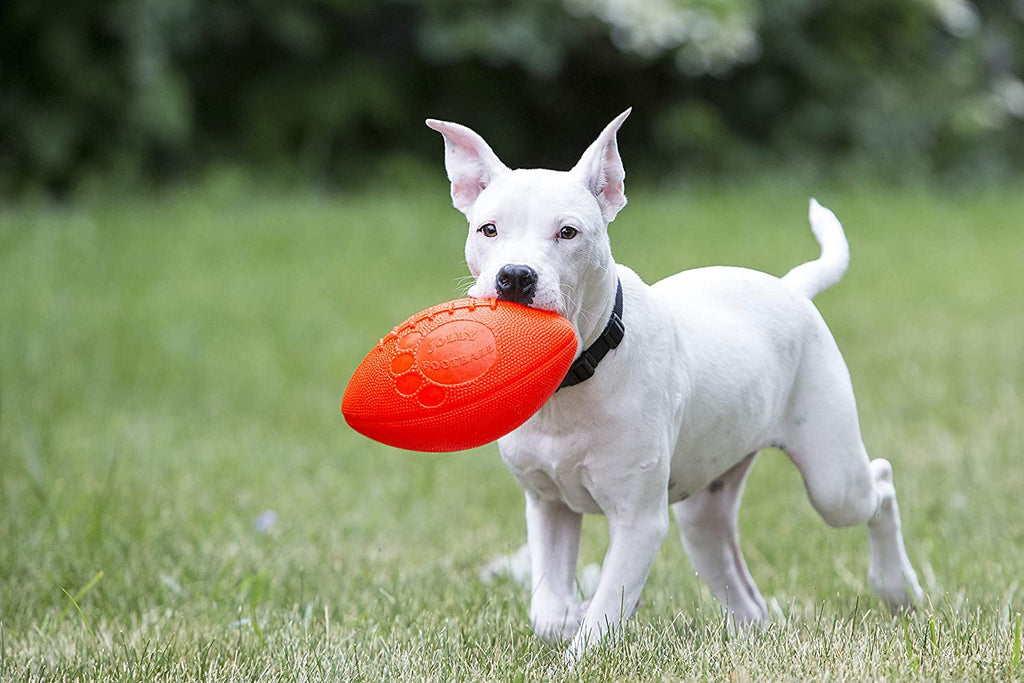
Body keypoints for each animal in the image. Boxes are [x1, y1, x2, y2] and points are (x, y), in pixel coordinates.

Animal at [423, 109, 921, 659]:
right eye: (487, 229)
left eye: (568, 233)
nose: (514, 276)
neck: (578, 375)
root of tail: (791, 288)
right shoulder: (548, 505)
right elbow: (548, 608)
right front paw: (570, 615)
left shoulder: (638, 521)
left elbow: (605, 609)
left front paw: (584, 643)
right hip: (704, 513)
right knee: (743, 592)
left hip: (833, 478)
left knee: (879, 484)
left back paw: (898, 589)